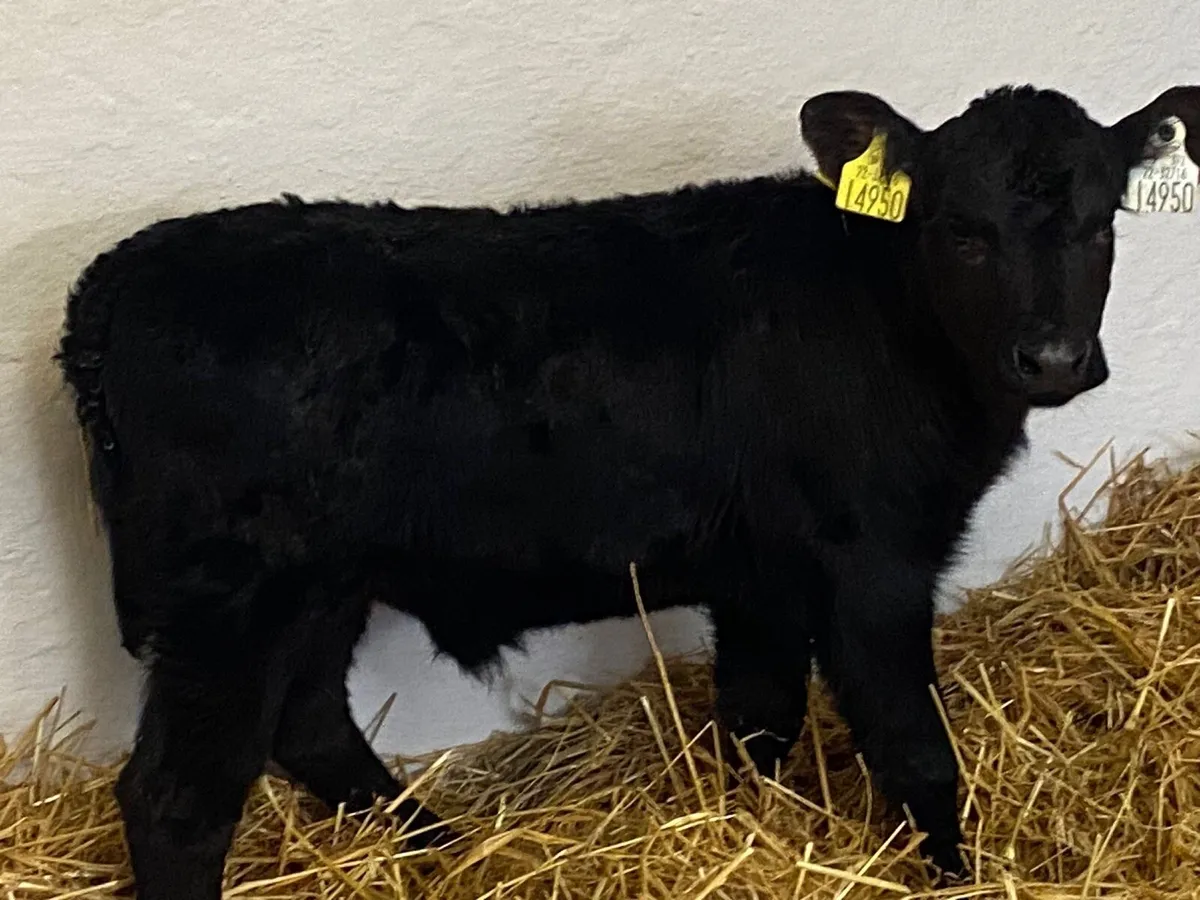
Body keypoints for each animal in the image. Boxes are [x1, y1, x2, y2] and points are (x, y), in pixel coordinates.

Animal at [56, 83, 1200, 900]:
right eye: (960, 229)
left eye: (1101, 225)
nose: (1052, 359)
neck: (885, 315)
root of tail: (121, 278)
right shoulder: (872, 564)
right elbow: (913, 746)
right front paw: (954, 875)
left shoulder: (762, 578)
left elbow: (758, 721)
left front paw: (752, 829)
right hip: (232, 602)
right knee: (176, 801)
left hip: (319, 588)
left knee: (308, 724)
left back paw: (438, 846)